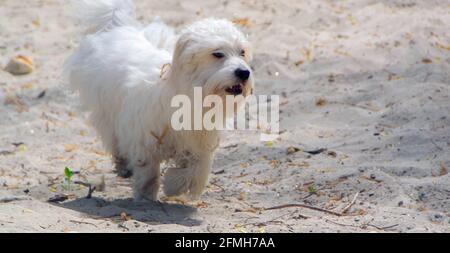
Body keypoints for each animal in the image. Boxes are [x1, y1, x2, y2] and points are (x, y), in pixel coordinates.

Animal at [64, 0, 253, 202]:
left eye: (242, 52)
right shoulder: (144, 140)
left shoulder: (199, 142)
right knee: (114, 138)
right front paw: (146, 196)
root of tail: (118, 27)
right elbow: (148, 173)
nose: (244, 73)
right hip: (106, 112)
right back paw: (123, 164)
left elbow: (198, 170)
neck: (190, 92)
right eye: (217, 54)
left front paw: (173, 185)